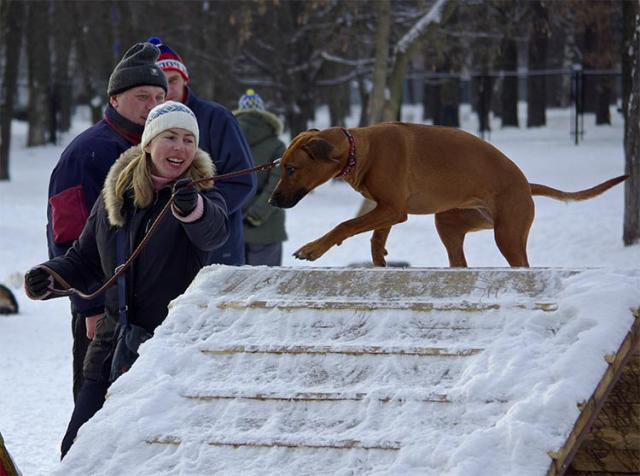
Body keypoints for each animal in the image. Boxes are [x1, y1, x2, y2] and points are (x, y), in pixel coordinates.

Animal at [268, 122, 628, 268]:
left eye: (290, 169)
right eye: (280, 166)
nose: (272, 201)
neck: (360, 150)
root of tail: (526, 185)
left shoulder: (394, 207)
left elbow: (345, 225)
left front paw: (313, 248)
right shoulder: (386, 206)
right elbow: (374, 235)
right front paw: (379, 260)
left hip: (508, 234)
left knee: (522, 263)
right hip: (449, 222)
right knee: (460, 261)